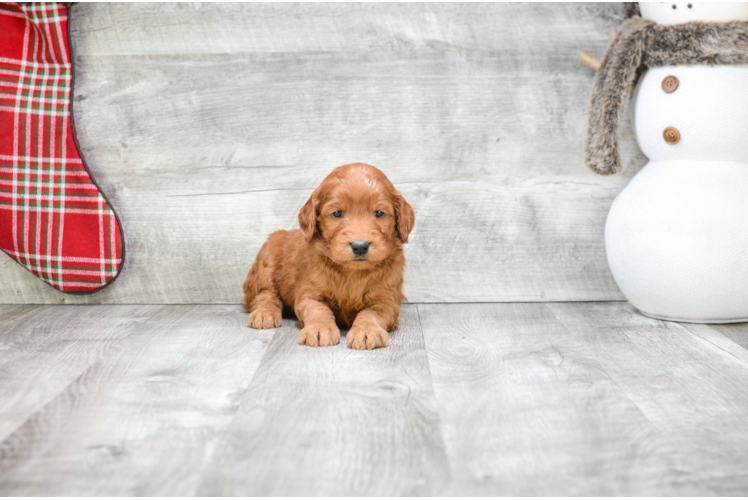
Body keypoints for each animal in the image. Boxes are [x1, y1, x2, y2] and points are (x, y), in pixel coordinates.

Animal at [243, 162, 414, 350]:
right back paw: (264, 313)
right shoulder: (309, 293)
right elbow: (318, 310)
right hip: (268, 257)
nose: (360, 246)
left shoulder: (387, 299)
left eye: (379, 213)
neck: (352, 273)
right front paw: (319, 329)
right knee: (265, 293)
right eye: (337, 213)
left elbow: (371, 313)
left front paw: (367, 331)